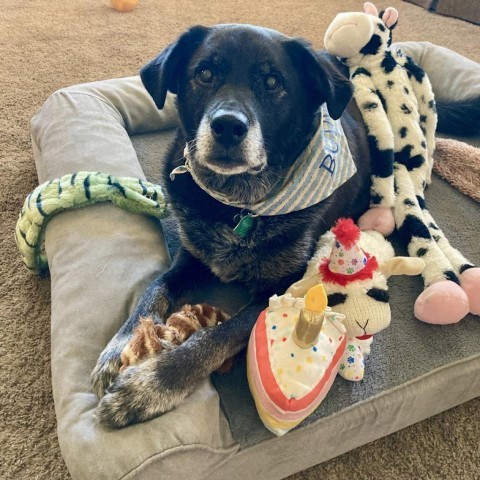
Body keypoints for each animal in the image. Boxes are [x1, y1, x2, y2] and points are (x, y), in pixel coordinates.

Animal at [92, 23, 474, 428]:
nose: (227, 126)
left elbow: (217, 335)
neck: (239, 207)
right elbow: (156, 287)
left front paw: (151, 385)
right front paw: (121, 347)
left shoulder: (284, 287)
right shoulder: (192, 256)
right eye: (205, 74)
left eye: (273, 82)